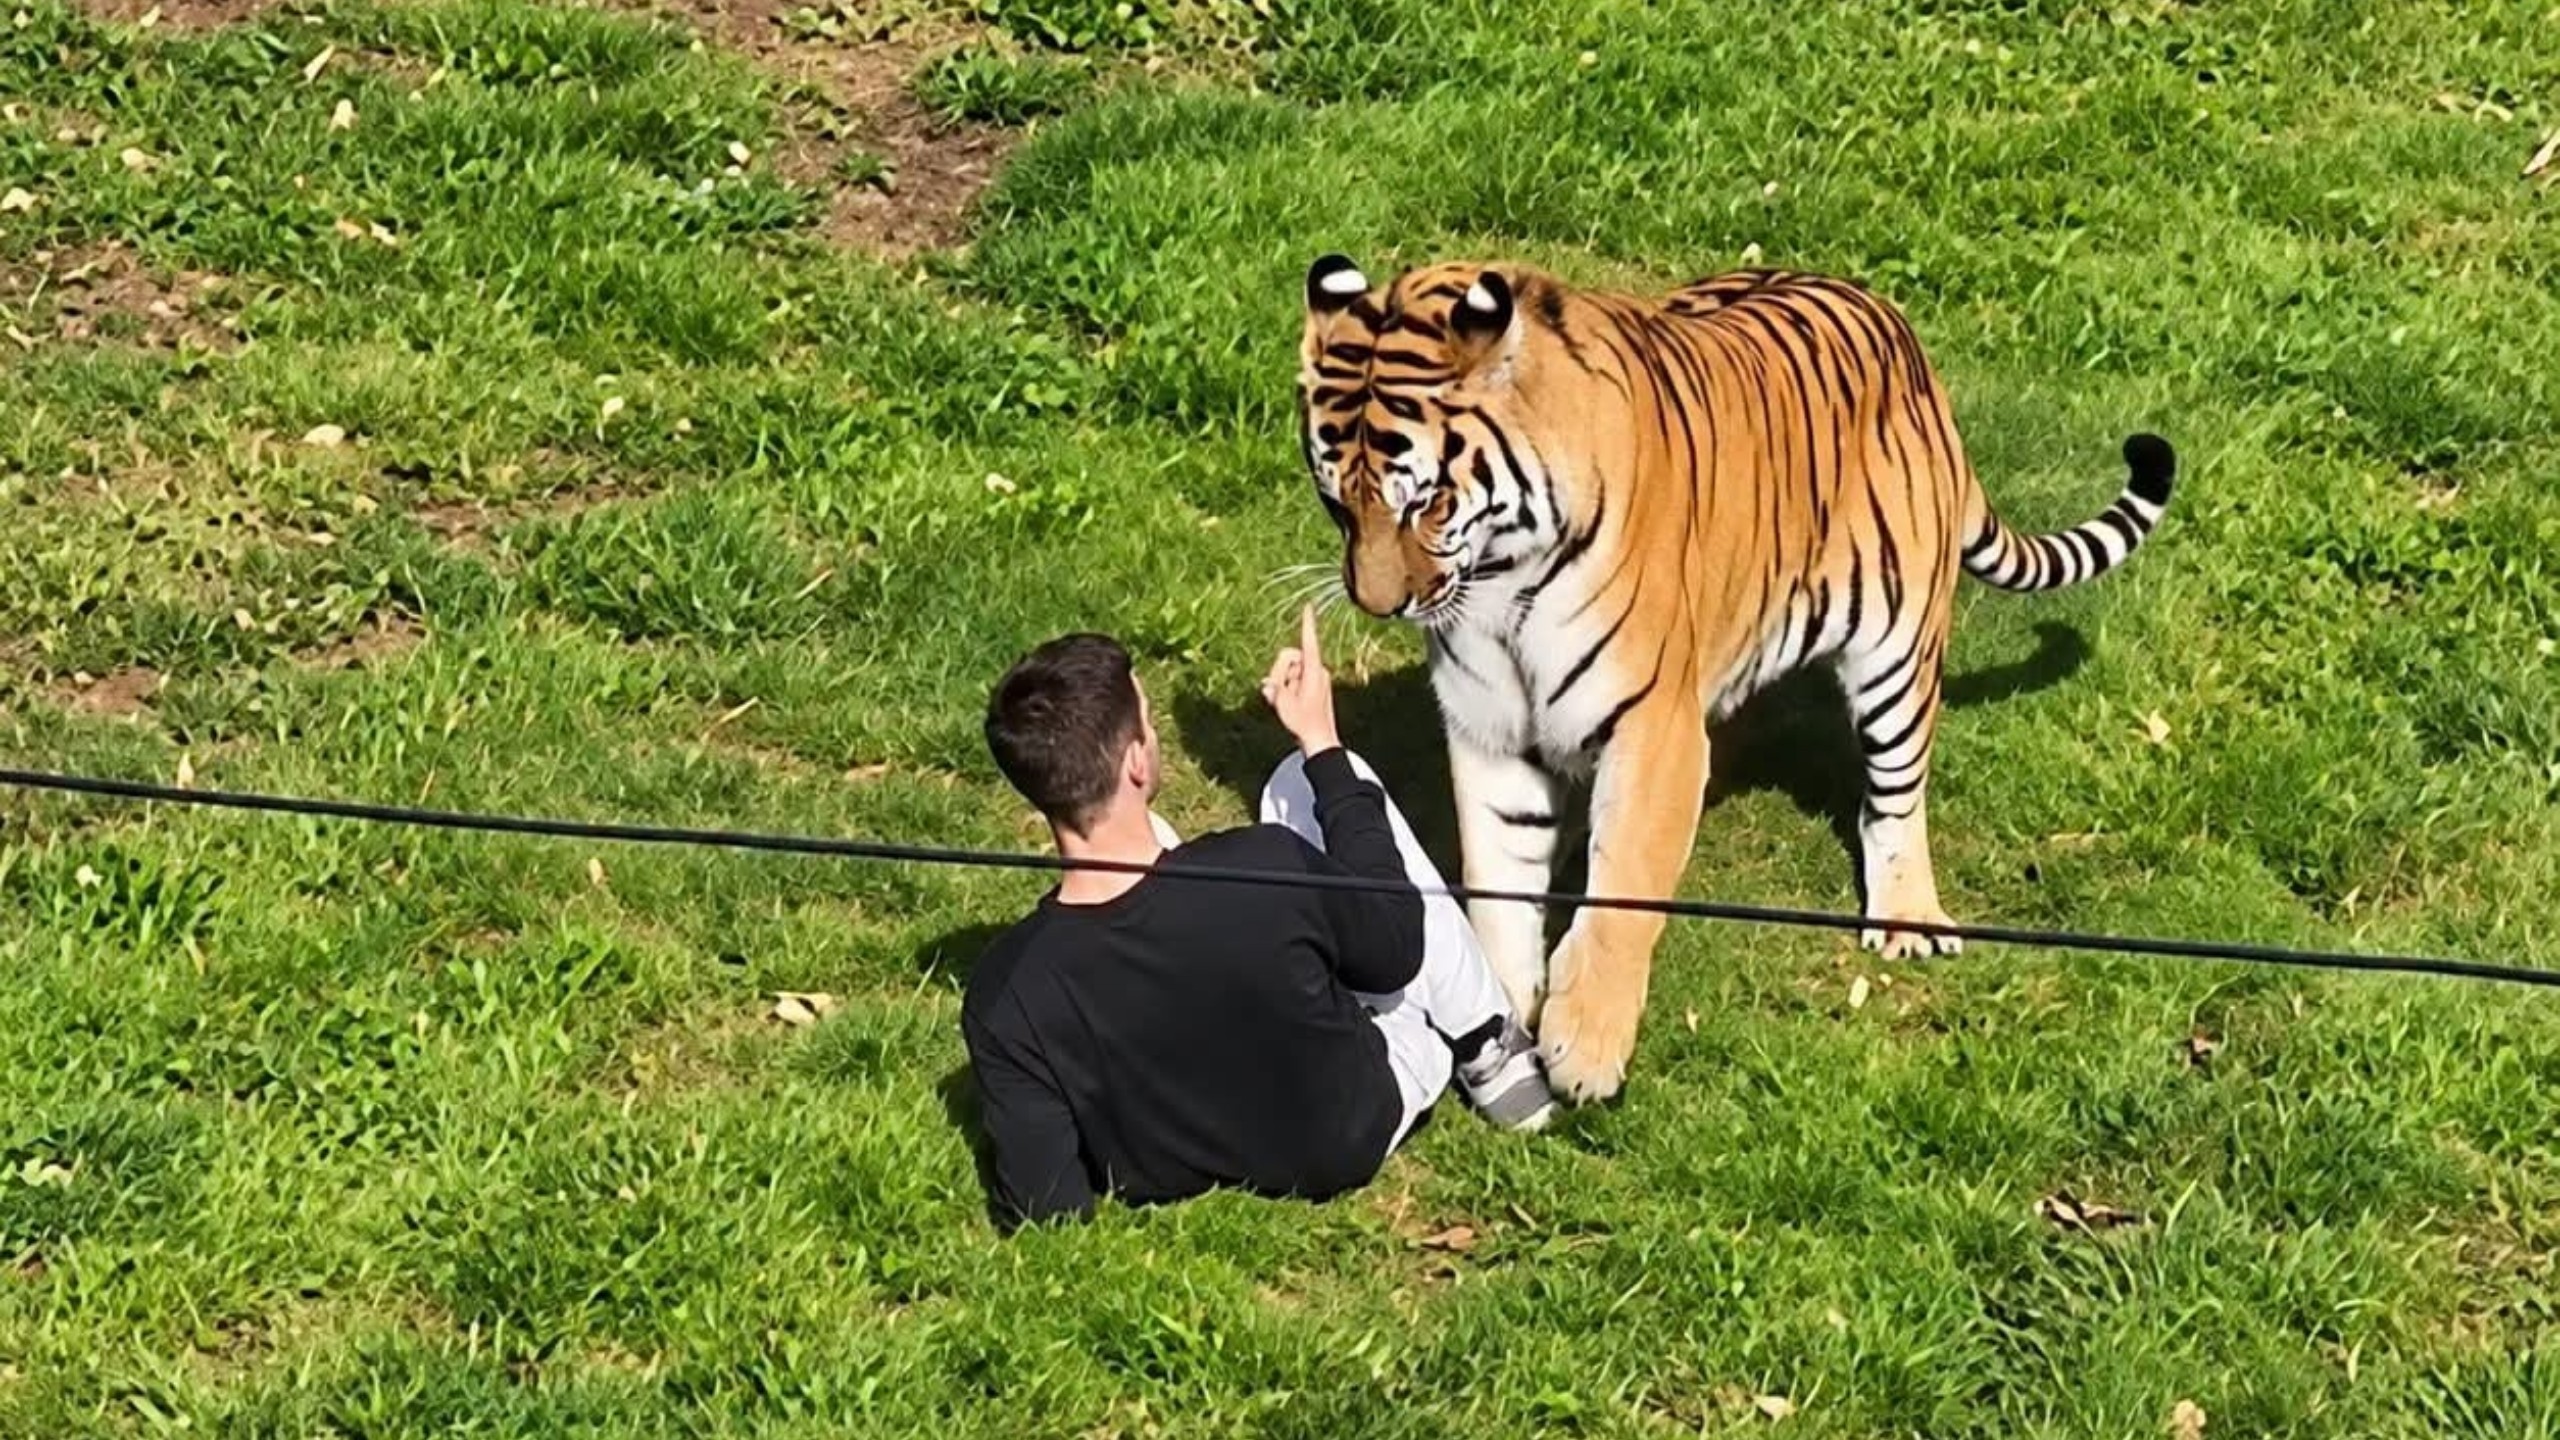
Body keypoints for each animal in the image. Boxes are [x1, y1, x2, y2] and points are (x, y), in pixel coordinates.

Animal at [1295, 254, 2175, 1103]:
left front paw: (1585, 1050)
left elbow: (1623, 888)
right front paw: (1502, 1020)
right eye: (1337, 503)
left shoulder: (1650, 724)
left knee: (1895, 795)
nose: (1378, 604)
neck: (1500, 581)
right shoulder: (1492, 730)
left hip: (1898, 648)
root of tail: (1905, 342)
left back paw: (1907, 918)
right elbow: (1498, 885)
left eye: (1426, 503)